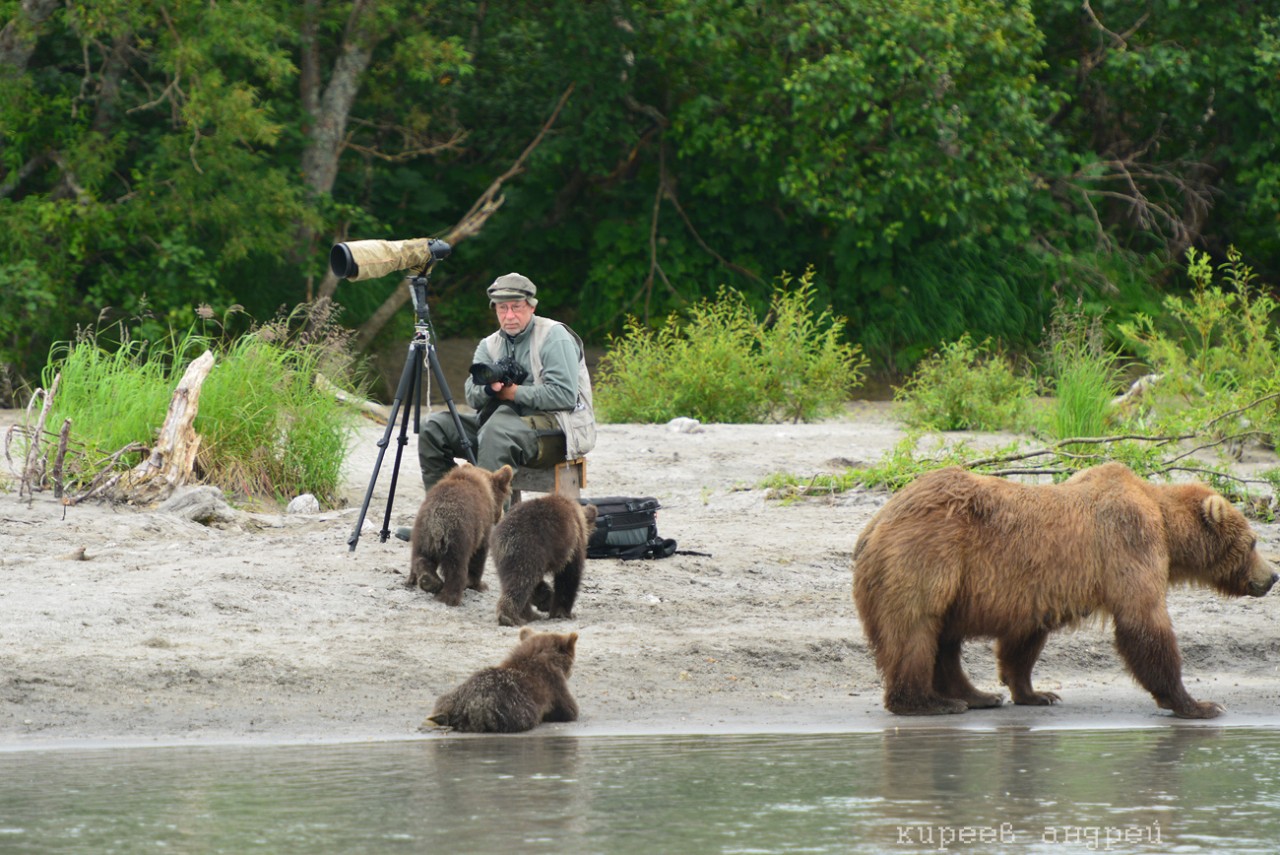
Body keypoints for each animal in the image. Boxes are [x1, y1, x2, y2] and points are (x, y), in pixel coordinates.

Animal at [855, 463, 1274, 716]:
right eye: (1254, 541)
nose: (1272, 577)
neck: (1165, 524)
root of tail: (874, 524)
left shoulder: (1038, 587)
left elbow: (1023, 641)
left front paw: (1035, 693)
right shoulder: (1128, 542)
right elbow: (1143, 622)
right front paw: (1198, 703)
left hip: (950, 579)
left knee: (943, 638)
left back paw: (977, 696)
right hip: (928, 558)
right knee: (916, 630)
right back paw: (928, 702)